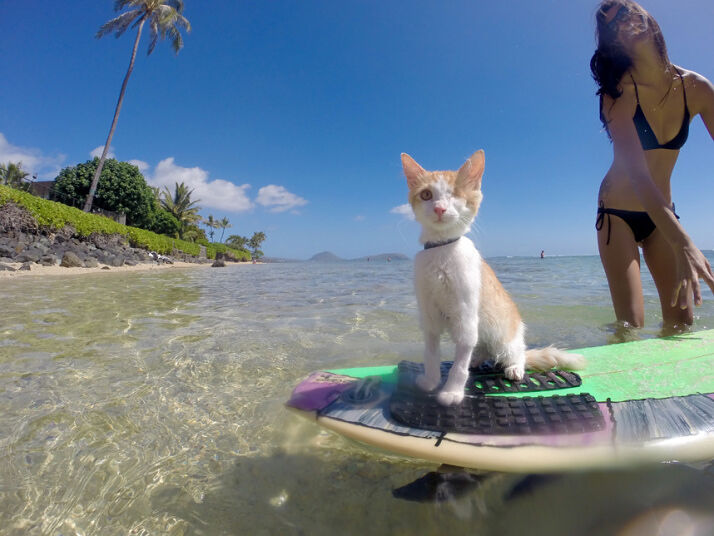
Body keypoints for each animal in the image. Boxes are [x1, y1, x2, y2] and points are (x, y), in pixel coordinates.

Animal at [398, 151, 580, 406]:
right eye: (426, 195)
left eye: (455, 194)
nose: (440, 208)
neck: (442, 251)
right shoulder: (429, 315)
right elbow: (431, 353)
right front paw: (431, 381)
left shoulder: (465, 315)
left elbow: (458, 365)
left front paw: (452, 392)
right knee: (481, 349)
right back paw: (477, 358)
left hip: (506, 337)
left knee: (515, 354)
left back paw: (514, 367)